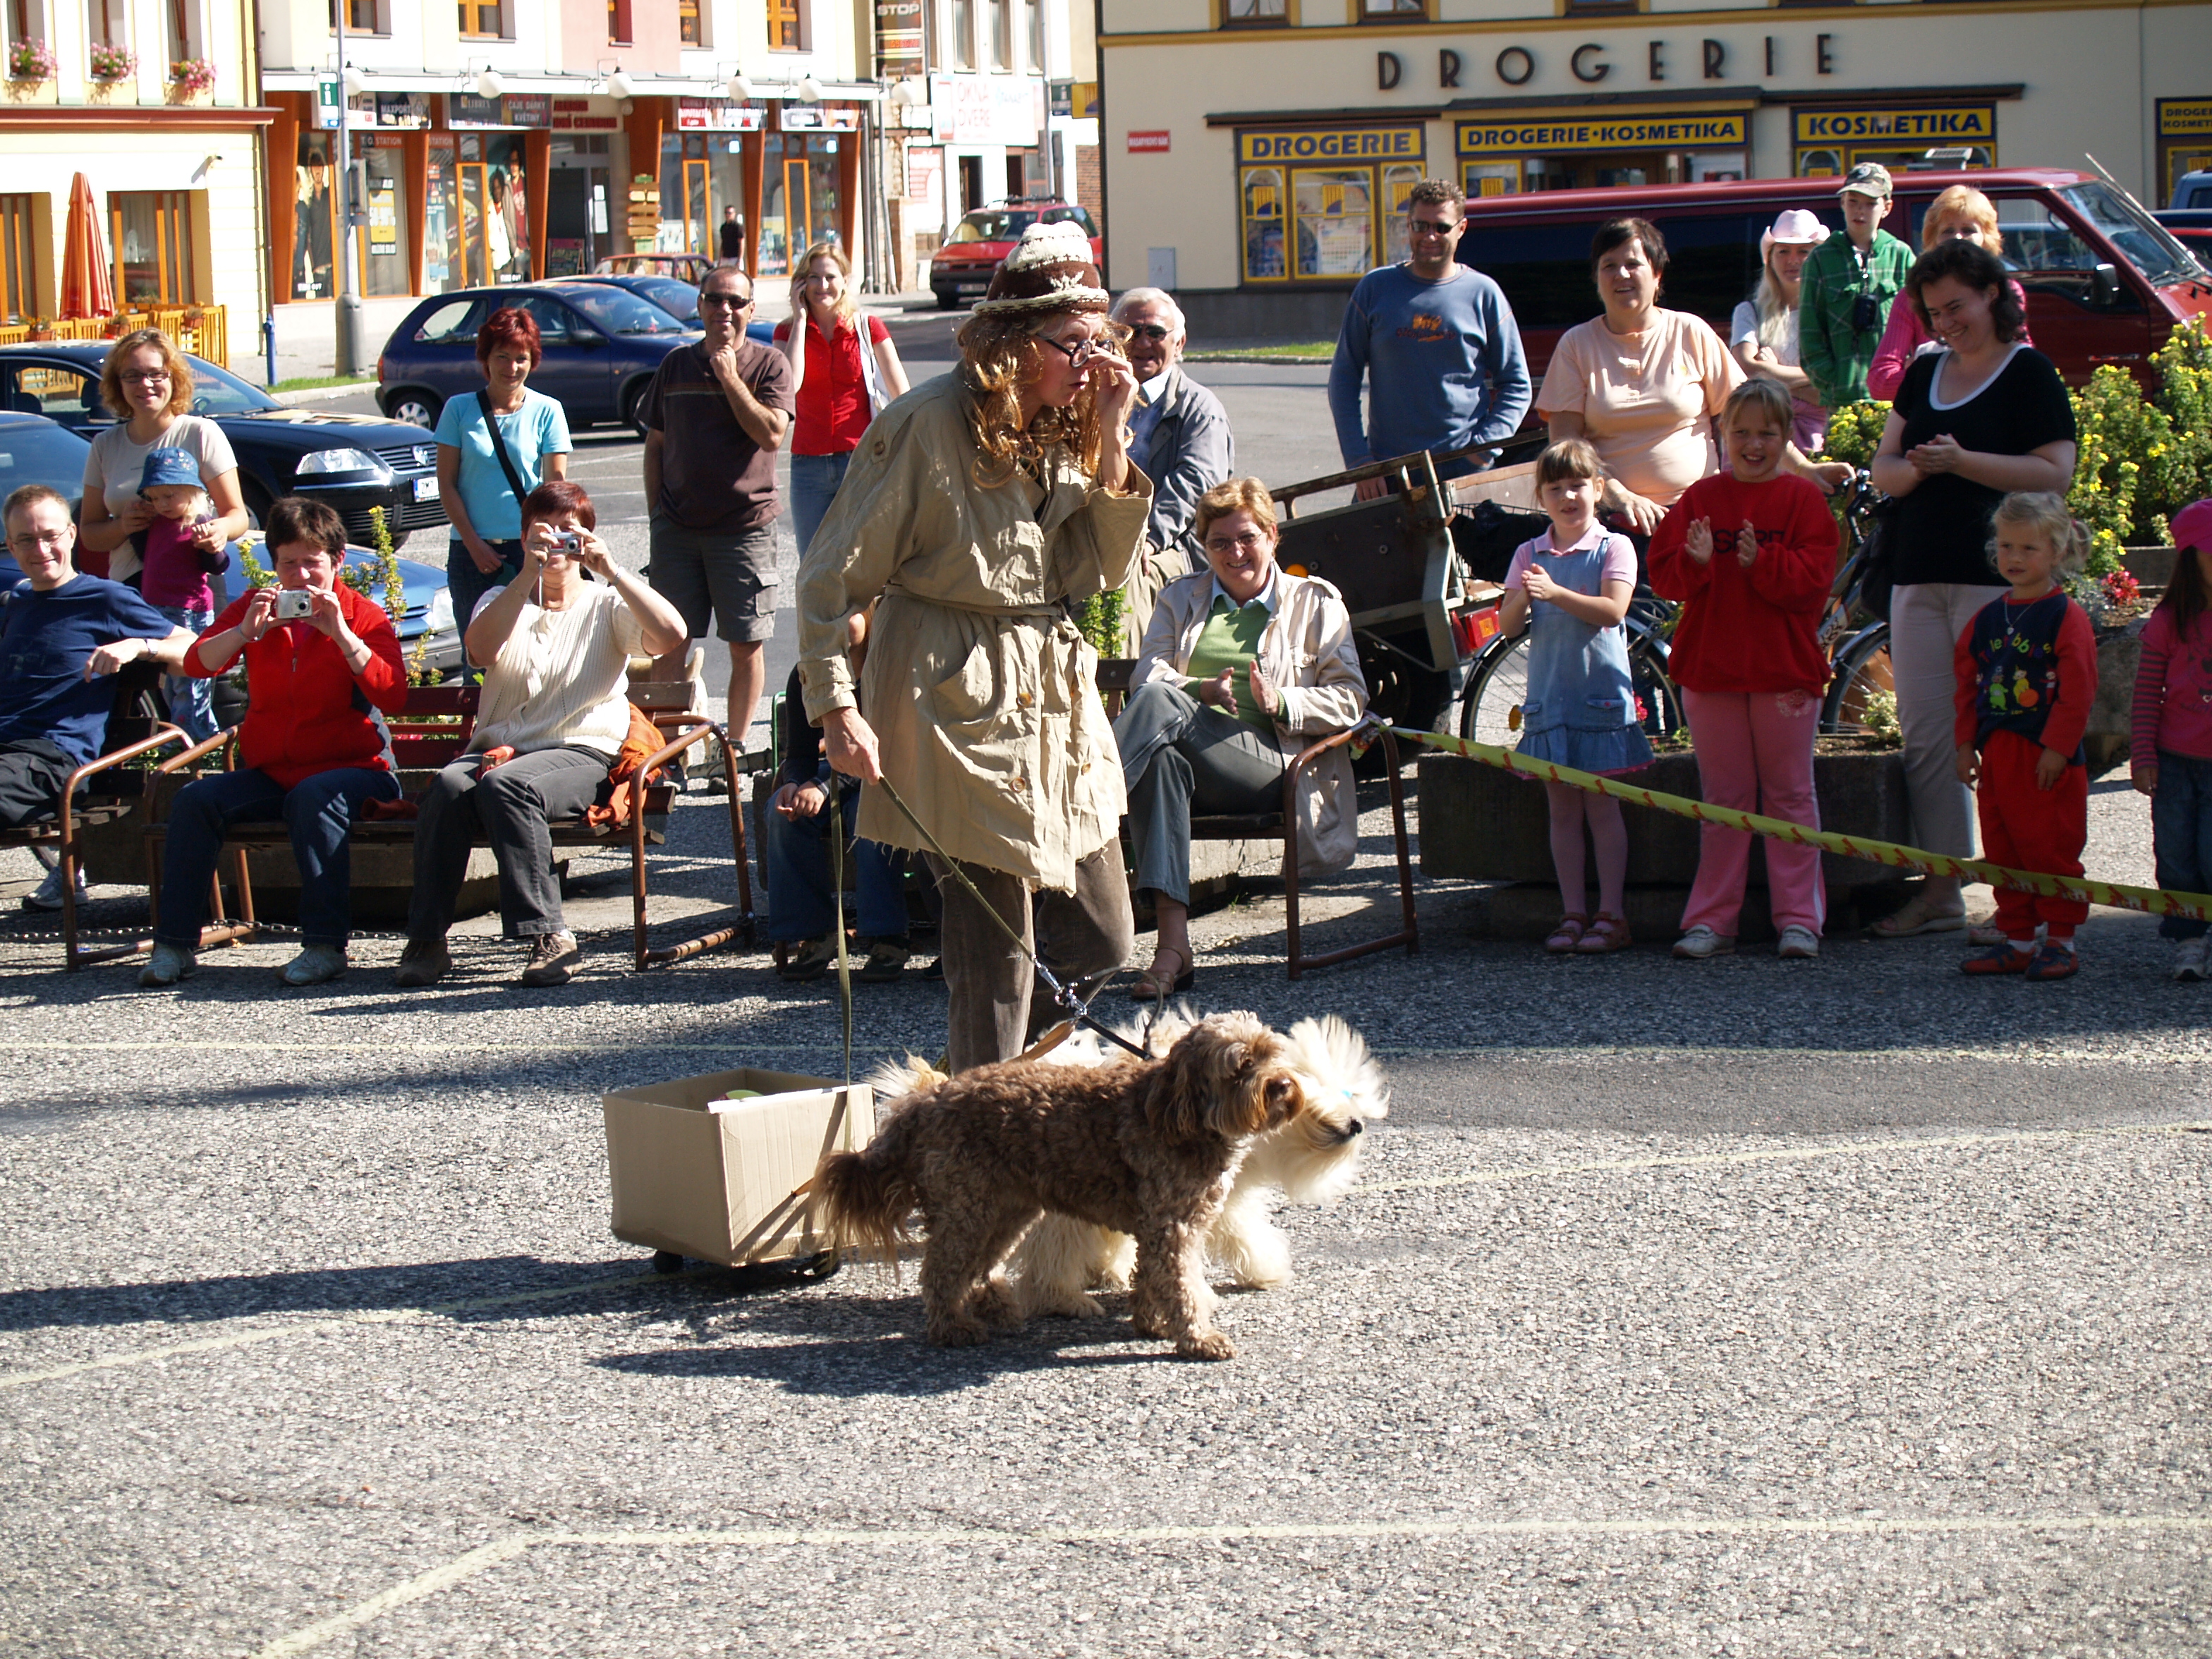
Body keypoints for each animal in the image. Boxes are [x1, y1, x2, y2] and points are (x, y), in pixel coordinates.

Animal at [822, 1013, 1318, 1362]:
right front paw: (1197, 1338)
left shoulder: (1162, 1227)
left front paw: (1152, 1323)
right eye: (1242, 1065)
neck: (1180, 1115)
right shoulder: (1171, 1226)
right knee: (941, 1272)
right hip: (969, 1210)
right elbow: (1181, 1284)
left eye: (1273, 1054)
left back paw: (996, 1306)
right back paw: (952, 1328)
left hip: (1005, 1209)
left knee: (980, 1266)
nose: (1283, 1086)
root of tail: (925, 1101)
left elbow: (1151, 1277)